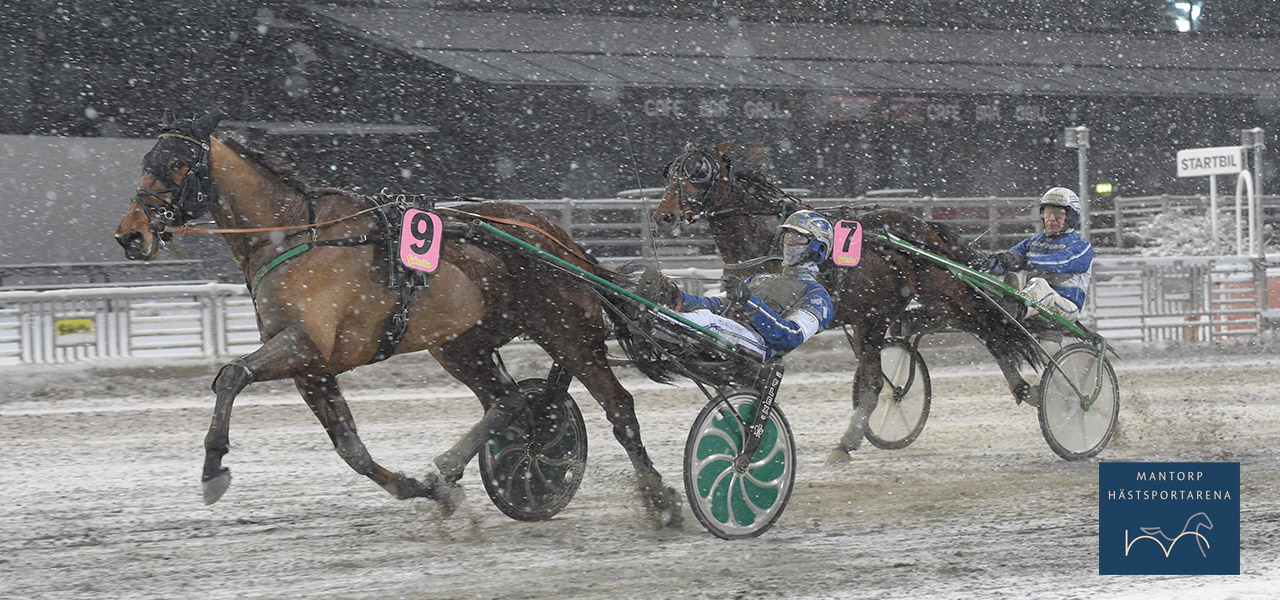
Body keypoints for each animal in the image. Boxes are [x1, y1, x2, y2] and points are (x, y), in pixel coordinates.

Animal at [115, 110, 686, 527]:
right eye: (145, 159)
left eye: (177, 165)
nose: (130, 235)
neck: (296, 235)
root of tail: (555, 237)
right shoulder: (311, 367)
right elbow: (350, 448)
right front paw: (419, 489)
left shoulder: (305, 345)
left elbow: (232, 375)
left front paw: (213, 466)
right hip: (461, 344)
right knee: (511, 404)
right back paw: (450, 471)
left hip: (566, 333)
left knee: (618, 407)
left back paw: (661, 499)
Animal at [650, 142, 1039, 460]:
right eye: (670, 171)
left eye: (698, 171)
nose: (663, 216)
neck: (768, 241)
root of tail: (923, 228)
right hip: (882, 314)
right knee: (886, 376)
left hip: (938, 296)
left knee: (989, 329)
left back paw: (1025, 388)